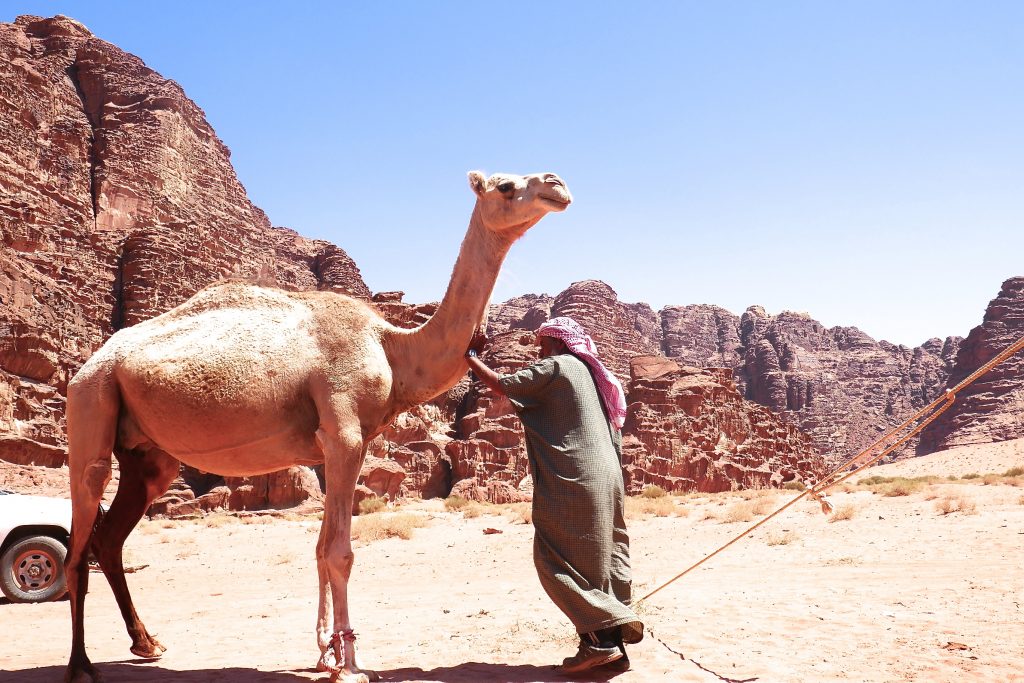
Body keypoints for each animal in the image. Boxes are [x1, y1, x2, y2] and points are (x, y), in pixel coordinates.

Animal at [65, 171, 573, 683]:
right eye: (506, 185)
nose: (557, 185)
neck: (393, 349)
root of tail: (91, 363)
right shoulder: (343, 431)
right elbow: (340, 554)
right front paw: (350, 663)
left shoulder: (341, 445)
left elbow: (320, 549)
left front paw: (326, 653)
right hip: (92, 402)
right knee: (78, 539)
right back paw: (80, 664)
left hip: (147, 455)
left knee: (110, 537)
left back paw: (147, 643)